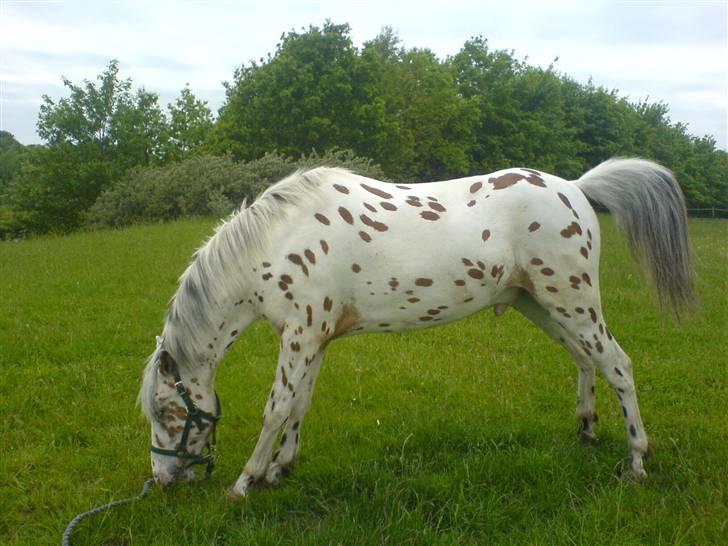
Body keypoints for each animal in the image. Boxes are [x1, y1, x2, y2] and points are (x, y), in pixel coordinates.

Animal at [141, 155, 692, 496]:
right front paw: (281, 469)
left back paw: (637, 462)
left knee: (618, 365)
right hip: (541, 305)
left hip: (573, 301)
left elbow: (276, 409)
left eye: (168, 412)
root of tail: (576, 189)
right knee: (585, 359)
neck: (277, 239)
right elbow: (299, 406)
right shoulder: (314, 339)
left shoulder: (299, 337)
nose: (164, 480)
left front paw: (246, 481)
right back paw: (586, 431)